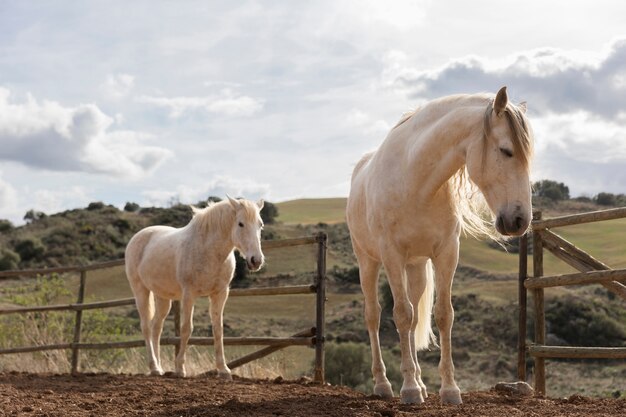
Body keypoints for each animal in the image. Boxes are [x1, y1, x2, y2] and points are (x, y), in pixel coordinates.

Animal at [124, 195, 264, 376]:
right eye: (240, 223)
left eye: (260, 224)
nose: (256, 260)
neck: (209, 251)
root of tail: (138, 237)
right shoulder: (189, 294)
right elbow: (186, 329)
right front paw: (180, 368)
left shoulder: (220, 294)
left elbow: (218, 330)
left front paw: (223, 369)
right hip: (141, 290)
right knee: (146, 327)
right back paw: (154, 367)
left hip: (162, 297)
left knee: (156, 328)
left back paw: (160, 368)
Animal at [346, 87, 532, 404]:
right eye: (506, 150)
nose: (519, 220)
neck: (415, 179)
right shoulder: (391, 255)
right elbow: (401, 314)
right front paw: (408, 389)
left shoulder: (446, 253)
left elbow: (443, 315)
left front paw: (449, 389)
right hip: (368, 262)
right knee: (374, 316)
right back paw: (384, 384)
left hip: (416, 267)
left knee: (413, 319)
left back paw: (421, 384)